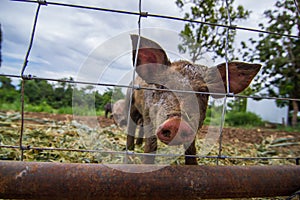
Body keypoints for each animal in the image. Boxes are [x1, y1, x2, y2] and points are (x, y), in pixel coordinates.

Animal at [126, 35, 260, 165]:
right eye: (161, 86)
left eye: (203, 92)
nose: (177, 122)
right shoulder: (147, 114)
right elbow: (151, 145)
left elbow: (191, 150)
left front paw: (193, 164)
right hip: (131, 104)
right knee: (131, 126)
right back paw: (131, 150)